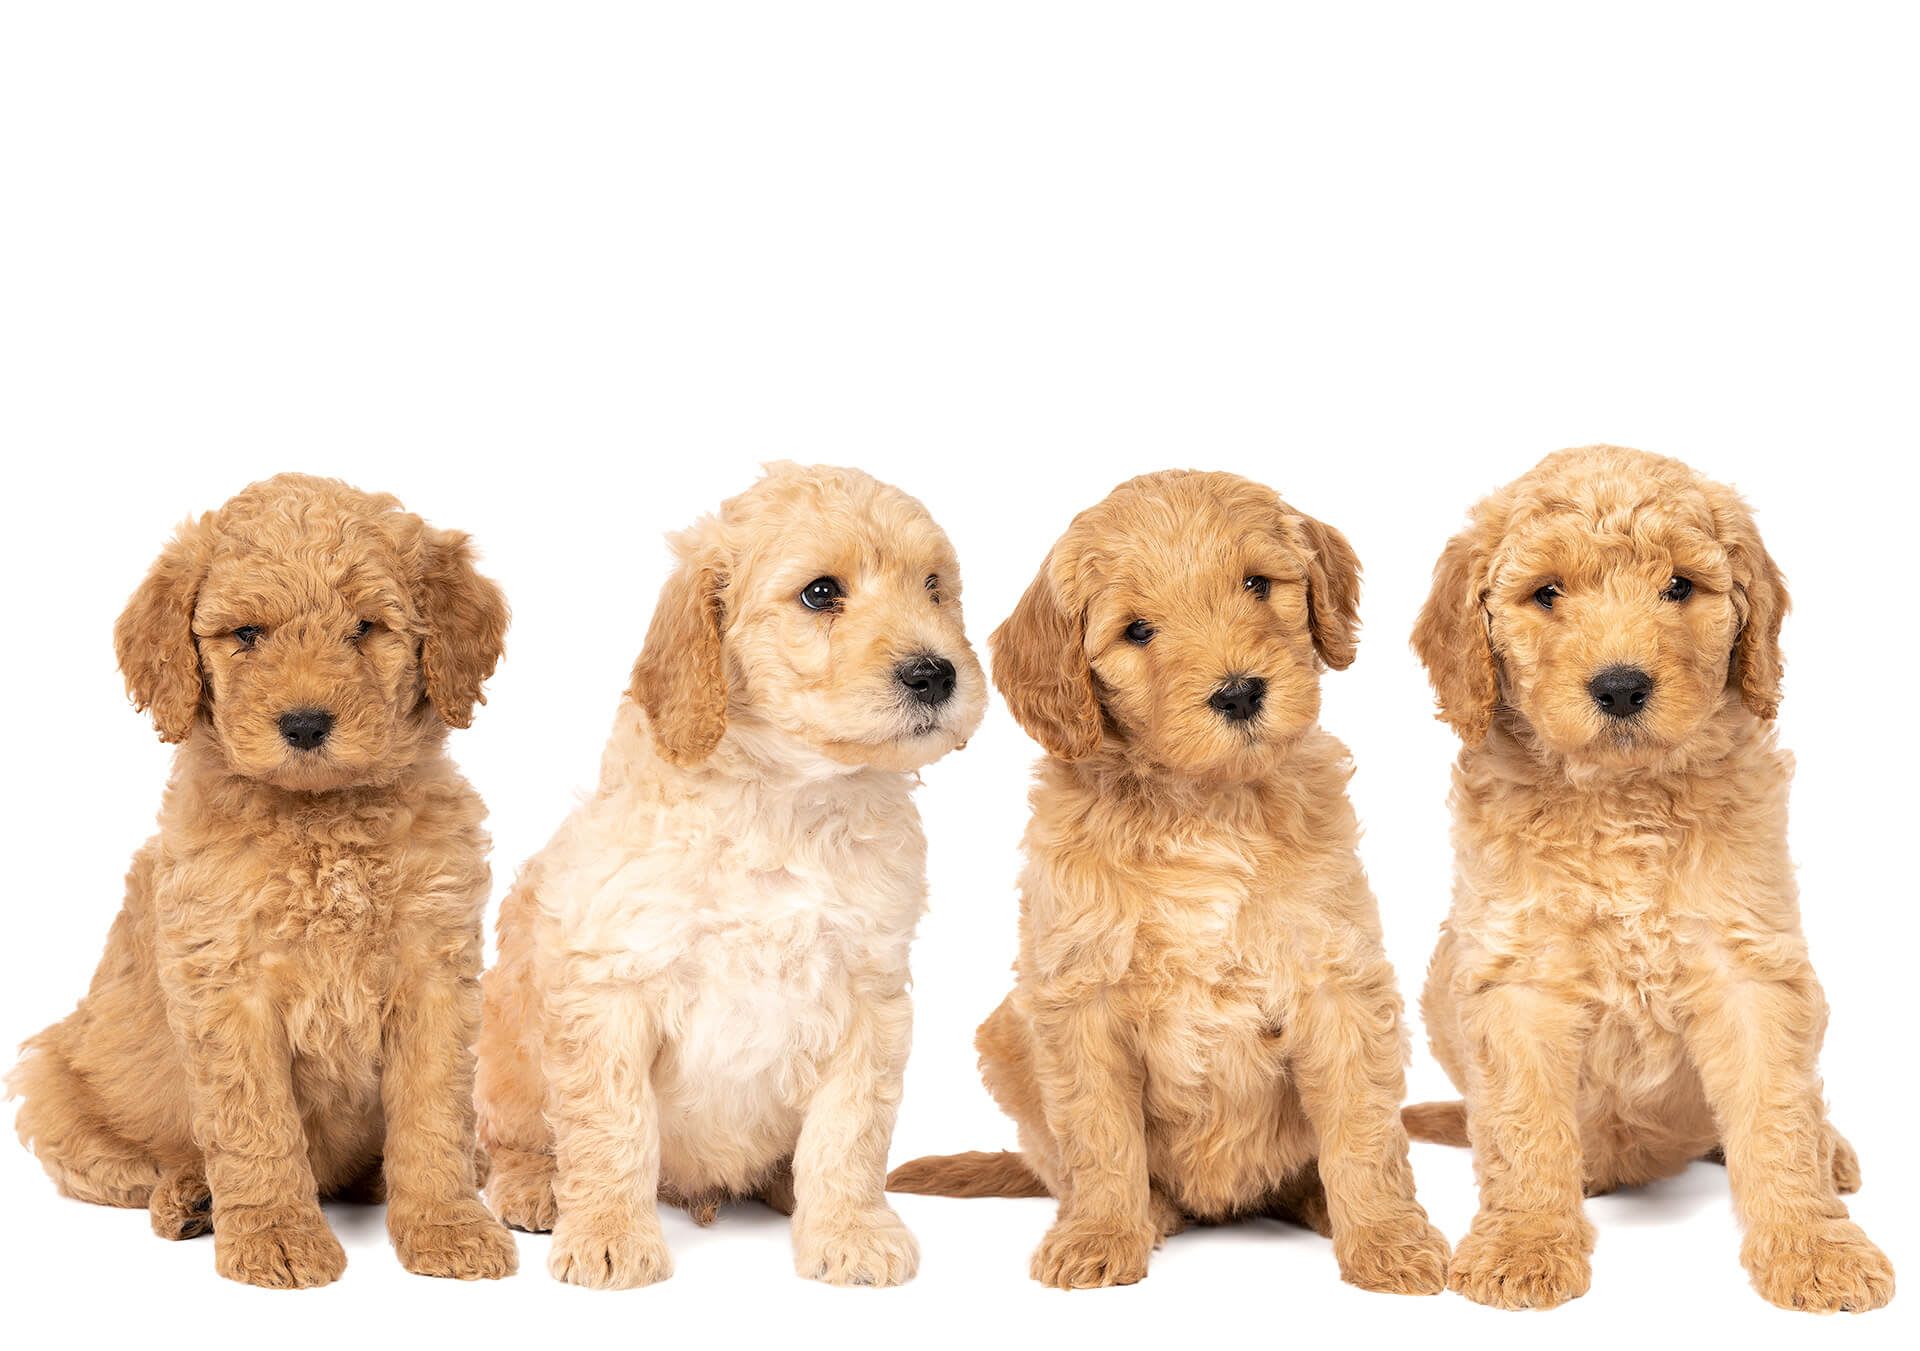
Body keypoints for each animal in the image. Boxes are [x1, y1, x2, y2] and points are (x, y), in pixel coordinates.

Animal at [9, 475, 518, 1289]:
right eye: (247, 634)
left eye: (366, 627)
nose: (305, 724)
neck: (320, 821)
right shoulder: (227, 985)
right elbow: (255, 1123)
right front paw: (276, 1236)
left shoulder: (434, 974)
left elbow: (434, 1112)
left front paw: (448, 1225)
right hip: (51, 1080)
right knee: (130, 1163)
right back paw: (191, 1196)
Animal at [474, 464, 983, 1289]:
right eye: (820, 593)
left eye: (935, 586)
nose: (935, 673)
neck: (784, 801)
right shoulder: (612, 984)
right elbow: (611, 1124)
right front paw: (610, 1233)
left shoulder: (869, 994)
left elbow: (851, 1129)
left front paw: (850, 1227)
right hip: (505, 1048)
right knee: (511, 1136)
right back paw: (535, 1188)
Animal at [883, 470, 1443, 1289]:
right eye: (1137, 631)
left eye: (1256, 583)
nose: (1239, 693)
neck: (1202, 807)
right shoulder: (1077, 995)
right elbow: (1100, 1135)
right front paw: (1101, 1235)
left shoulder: (1336, 975)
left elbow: (1363, 1126)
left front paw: (1387, 1238)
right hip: (1006, 1038)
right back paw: (1148, 1213)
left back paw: (1316, 1201)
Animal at [1405, 449, 1896, 1312]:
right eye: (1547, 593)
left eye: (1679, 586)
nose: (1621, 686)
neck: (1620, 797)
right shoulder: (1515, 976)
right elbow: (1523, 1125)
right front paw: (1525, 1244)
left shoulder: (1751, 964)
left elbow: (1778, 1113)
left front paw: (1815, 1249)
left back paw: (1831, 1150)